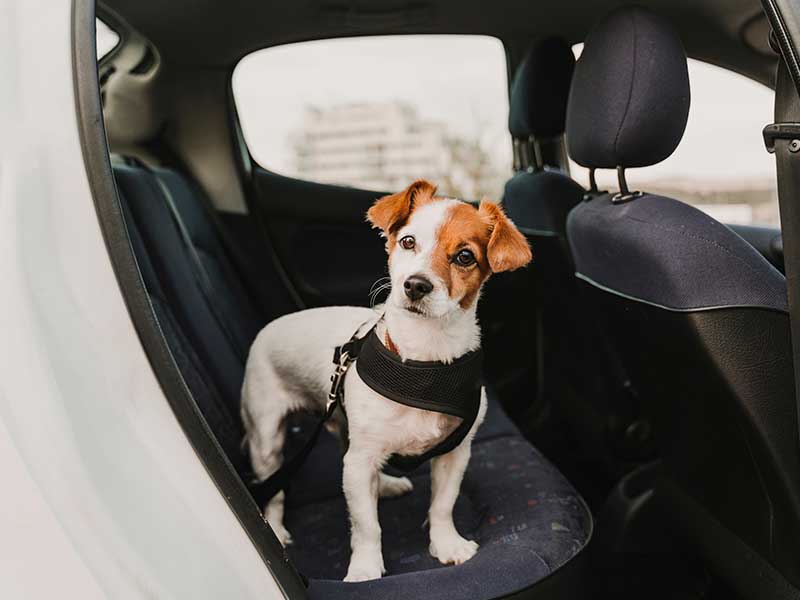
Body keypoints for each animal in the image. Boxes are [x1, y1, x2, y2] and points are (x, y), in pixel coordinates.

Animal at [241, 179, 536, 580]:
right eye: (408, 241)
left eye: (464, 257)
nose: (415, 285)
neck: (423, 363)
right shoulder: (361, 460)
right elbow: (367, 526)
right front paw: (365, 569)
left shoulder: (454, 453)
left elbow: (442, 504)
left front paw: (447, 544)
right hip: (268, 440)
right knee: (274, 490)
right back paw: (276, 528)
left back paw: (385, 485)